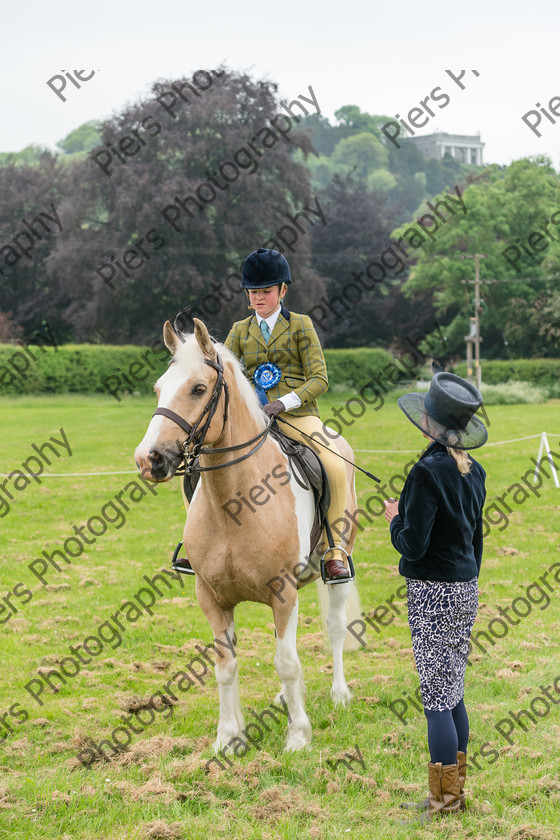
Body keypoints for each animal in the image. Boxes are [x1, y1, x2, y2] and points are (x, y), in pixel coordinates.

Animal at [136, 318, 364, 752]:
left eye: (198, 388)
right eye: (158, 388)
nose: (148, 459)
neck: (235, 502)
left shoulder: (282, 590)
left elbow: (287, 662)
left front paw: (298, 736)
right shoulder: (211, 596)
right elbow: (226, 666)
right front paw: (229, 737)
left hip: (336, 564)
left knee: (334, 625)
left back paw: (341, 694)